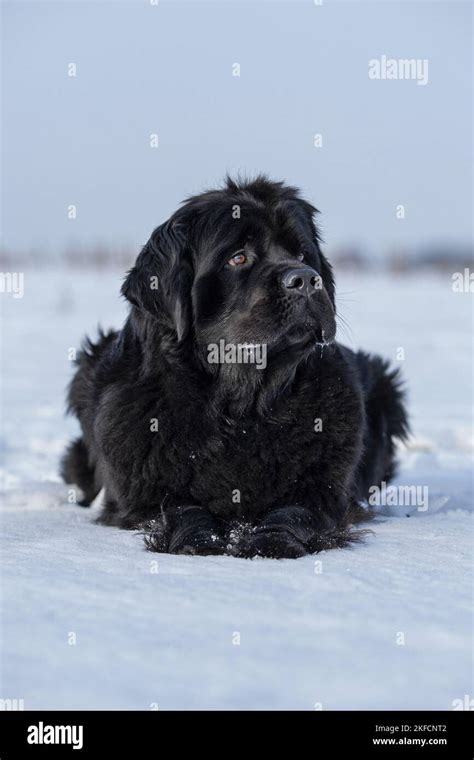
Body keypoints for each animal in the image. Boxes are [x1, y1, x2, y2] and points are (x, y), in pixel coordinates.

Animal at [61, 177, 410, 560]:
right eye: (238, 258)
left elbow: (296, 510)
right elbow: (182, 510)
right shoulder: (145, 494)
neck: (242, 409)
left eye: (303, 255)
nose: (305, 279)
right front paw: (200, 541)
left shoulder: (324, 488)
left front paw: (272, 541)